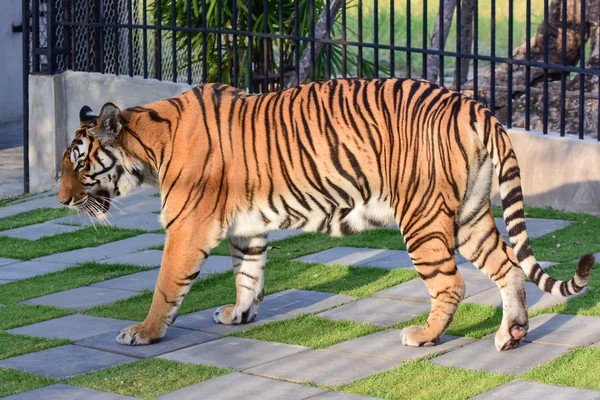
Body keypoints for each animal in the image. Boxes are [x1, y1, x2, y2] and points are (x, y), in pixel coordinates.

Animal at [58, 77, 592, 350]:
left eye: (79, 164)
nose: (60, 199)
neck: (150, 143)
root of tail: (474, 105)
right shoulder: (247, 227)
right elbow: (248, 272)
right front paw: (239, 314)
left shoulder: (187, 227)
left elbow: (166, 285)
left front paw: (143, 332)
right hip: (471, 214)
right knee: (508, 267)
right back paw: (512, 334)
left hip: (422, 217)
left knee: (452, 283)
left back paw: (424, 335)